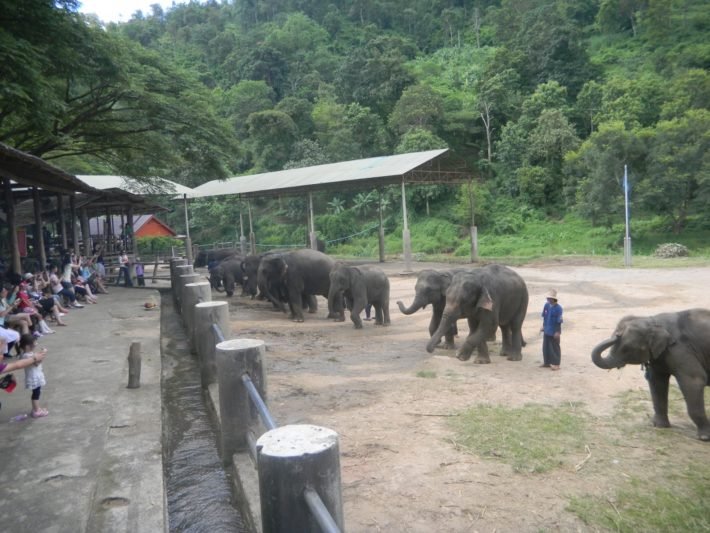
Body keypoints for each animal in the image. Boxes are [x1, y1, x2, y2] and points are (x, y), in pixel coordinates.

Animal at [588, 308, 710, 440]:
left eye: (626, 348)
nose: (618, 334)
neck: (652, 321)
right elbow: (657, 382)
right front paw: (659, 426)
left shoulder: (680, 349)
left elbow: (694, 381)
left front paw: (704, 437)